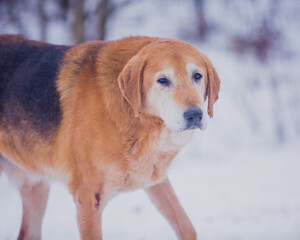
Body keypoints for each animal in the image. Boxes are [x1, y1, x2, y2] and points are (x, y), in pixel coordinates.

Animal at [0, 34, 220, 240]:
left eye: (197, 76)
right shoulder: (88, 199)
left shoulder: (154, 179)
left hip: (36, 187)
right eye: (163, 80)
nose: (194, 115)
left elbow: (186, 227)